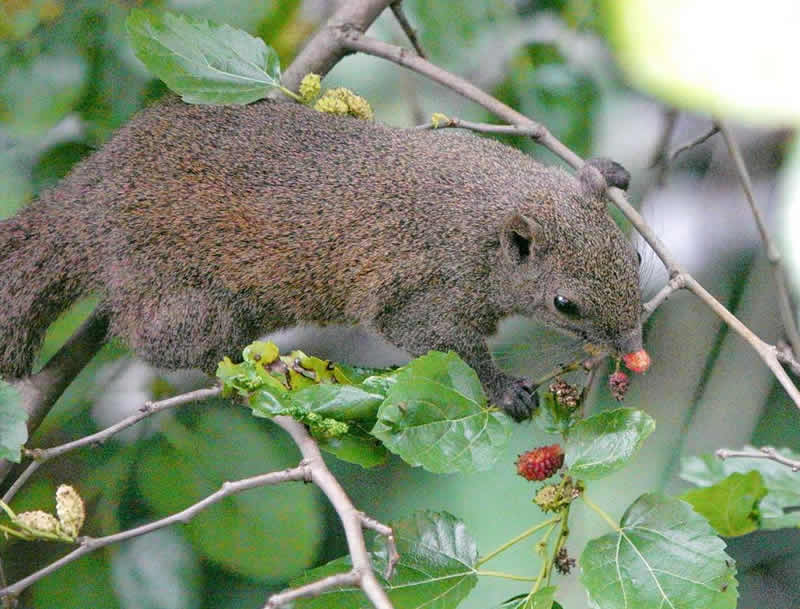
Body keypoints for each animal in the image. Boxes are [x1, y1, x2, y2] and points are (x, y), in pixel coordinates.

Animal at [0, 97, 644, 420]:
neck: (477, 204)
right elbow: (440, 340)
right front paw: (504, 389)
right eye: (565, 304)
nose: (635, 349)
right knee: (160, 339)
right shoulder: (422, 290)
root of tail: (85, 197)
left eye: (637, 256)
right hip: (179, 295)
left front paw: (605, 171)